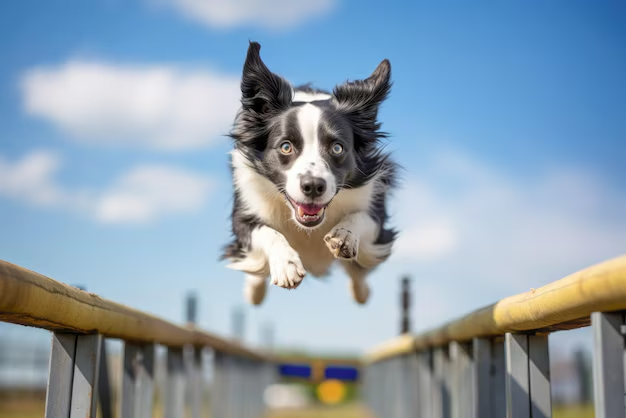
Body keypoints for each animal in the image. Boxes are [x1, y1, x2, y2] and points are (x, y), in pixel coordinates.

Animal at [221, 41, 394, 304]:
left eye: (337, 148)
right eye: (286, 147)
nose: (313, 186)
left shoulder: (374, 203)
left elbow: (363, 218)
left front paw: (344, 235)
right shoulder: (245, 208)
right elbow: (263, 231)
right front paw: (286, 265)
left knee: (358, 275)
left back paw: (361, 292)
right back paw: (254, 292)